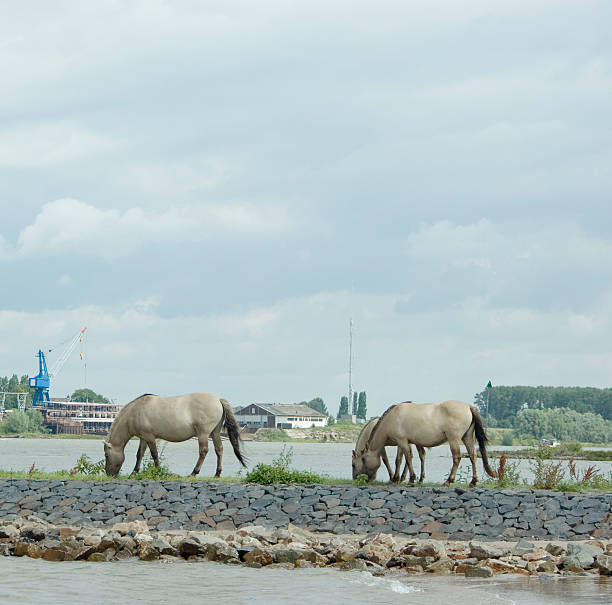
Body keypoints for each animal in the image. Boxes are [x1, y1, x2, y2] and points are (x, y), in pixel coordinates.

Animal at [104, 392, 247, 476]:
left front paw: (157, 470)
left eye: (106, 455)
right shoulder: (143, 438)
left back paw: (194, 472)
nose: (109, 473)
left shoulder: (150, 437)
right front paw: (134, 472)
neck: (135, 411)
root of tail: (218, 399)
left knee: (204, 451)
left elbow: (154, 454)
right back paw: (217, 473)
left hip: (203, 434)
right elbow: (139, 454)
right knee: (219, 449)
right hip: (215, 432)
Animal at [358, 402, 498, 486]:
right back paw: (473, 481)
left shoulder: (402, 441)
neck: (392, 418)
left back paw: (449, 481)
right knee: (473, 456)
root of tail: (469, 406)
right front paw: (407, 478)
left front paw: (410, 479)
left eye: (363, 459)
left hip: (454, 439)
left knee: (457, 457)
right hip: (467, 437)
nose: (363, 479)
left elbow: (406, 459)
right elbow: (410, 458)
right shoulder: (410, 442)